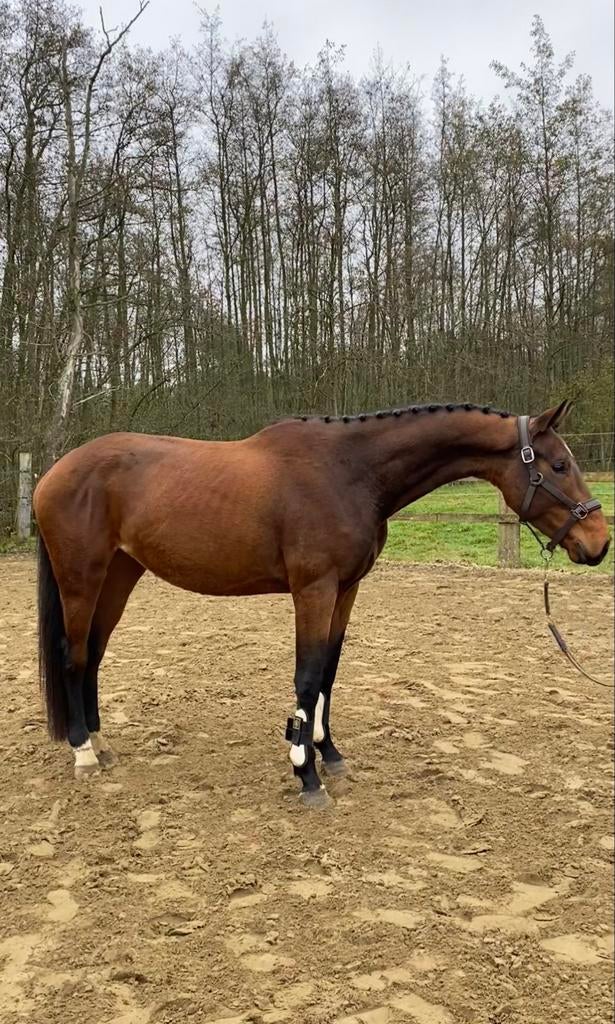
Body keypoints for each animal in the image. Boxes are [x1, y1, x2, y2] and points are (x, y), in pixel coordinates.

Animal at [33, 399, 610, 806]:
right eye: (560, 465)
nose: (599, 543)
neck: (349, 471)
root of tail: (53, 473)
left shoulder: (347, 590)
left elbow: (329, 672)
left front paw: (327, 752)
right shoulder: (315, 589)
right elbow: (307, 676)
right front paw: (304, 772)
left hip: (119, 576)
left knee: (94, 656)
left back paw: (101, 745)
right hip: (82, 580)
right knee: (74, 656)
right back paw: (83, 753)